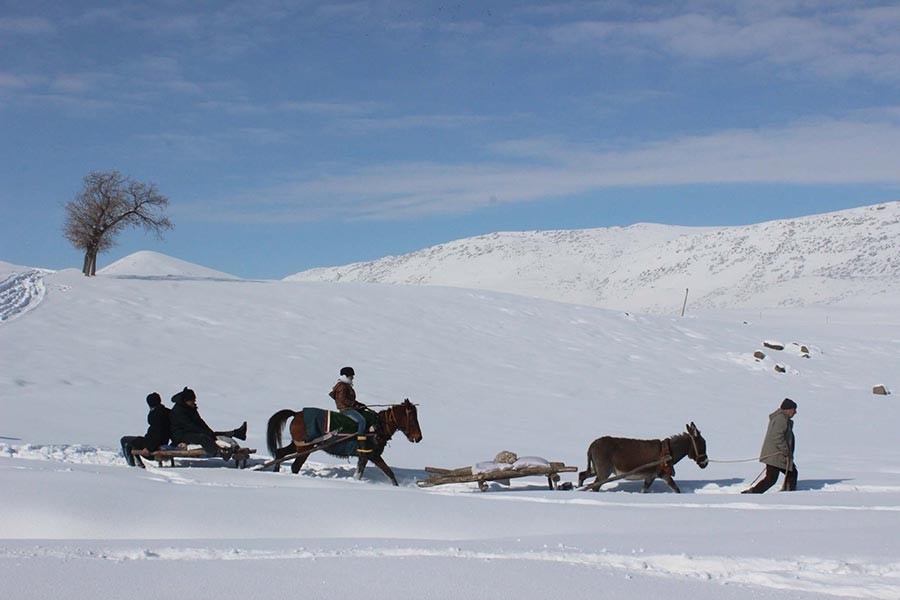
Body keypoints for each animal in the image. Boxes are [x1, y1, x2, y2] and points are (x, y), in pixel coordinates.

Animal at [266, 398, 424, 488]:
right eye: (412, 419)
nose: (419, 437)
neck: (378, 426)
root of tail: (296, 414)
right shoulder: (372, 455)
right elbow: (388, 472)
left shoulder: (365, 457)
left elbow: (367, 473)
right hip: (304, 448)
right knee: (295, 466)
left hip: (298, 445)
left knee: (280, 453)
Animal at [576, 422, 712, 492]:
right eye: (703, 444)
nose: (705, 463)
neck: (668, 451)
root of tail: (592, 444)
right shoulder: (663, 474)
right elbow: (676, 488)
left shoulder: (650, 476)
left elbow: (644, 490)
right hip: (604, 471)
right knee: (595, 485)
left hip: (595, 469)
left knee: (582, 475)